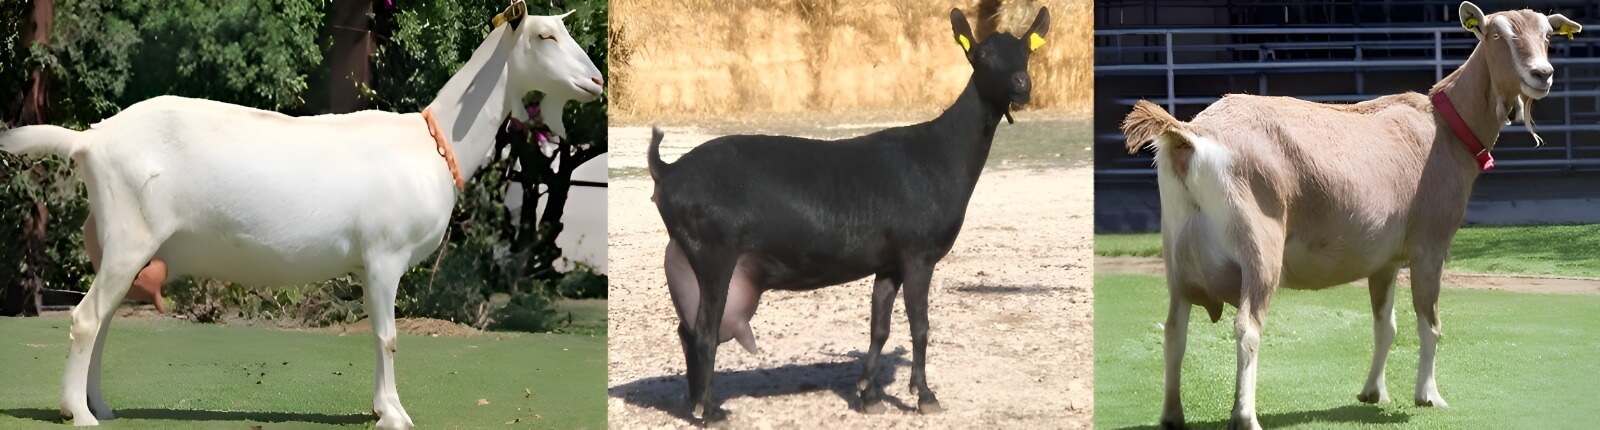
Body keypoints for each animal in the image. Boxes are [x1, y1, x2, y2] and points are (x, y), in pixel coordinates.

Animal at [0, 3, 602, 428]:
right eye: (545, 36)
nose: (596, 81)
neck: (433, 142)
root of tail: (91, 139)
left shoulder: (372, 264)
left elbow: (377, 335)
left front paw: (381, 408)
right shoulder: (384, 257)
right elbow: (388, 336)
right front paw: (394, 415)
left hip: (119, 242)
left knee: (101, 322)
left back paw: (99, 406)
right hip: (130, 235)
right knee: (85, 319)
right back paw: (78, 414)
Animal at [647, 7, 1049, 422]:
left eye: (1026, 51)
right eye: (983, 53)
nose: (1022, 84)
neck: (940, 154)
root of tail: (666, 171)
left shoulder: (889, 262)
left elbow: (880, 327)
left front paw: (869, 395)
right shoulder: (917, 253)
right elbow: (920, 325)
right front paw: (925, 396)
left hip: (692, 257)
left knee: (688, 330)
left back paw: (694, 401)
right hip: (715, 252)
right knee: (706, 330)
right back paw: (712, 412)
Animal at [1120, 2, 1581, 428]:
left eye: (1547, 35)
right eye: (1496, 35)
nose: (1542, 74)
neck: (1445, 127)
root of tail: (1189, 136)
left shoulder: (1383, 259)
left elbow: (1385, 325)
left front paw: (1373, 392)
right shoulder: (1430, 246)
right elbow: (1429, 322)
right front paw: (1428, 395)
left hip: (1176, 252)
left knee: (1174, 331)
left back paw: (1171, 414)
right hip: (1259, 247)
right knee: (1247, 327)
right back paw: (1246, 416)